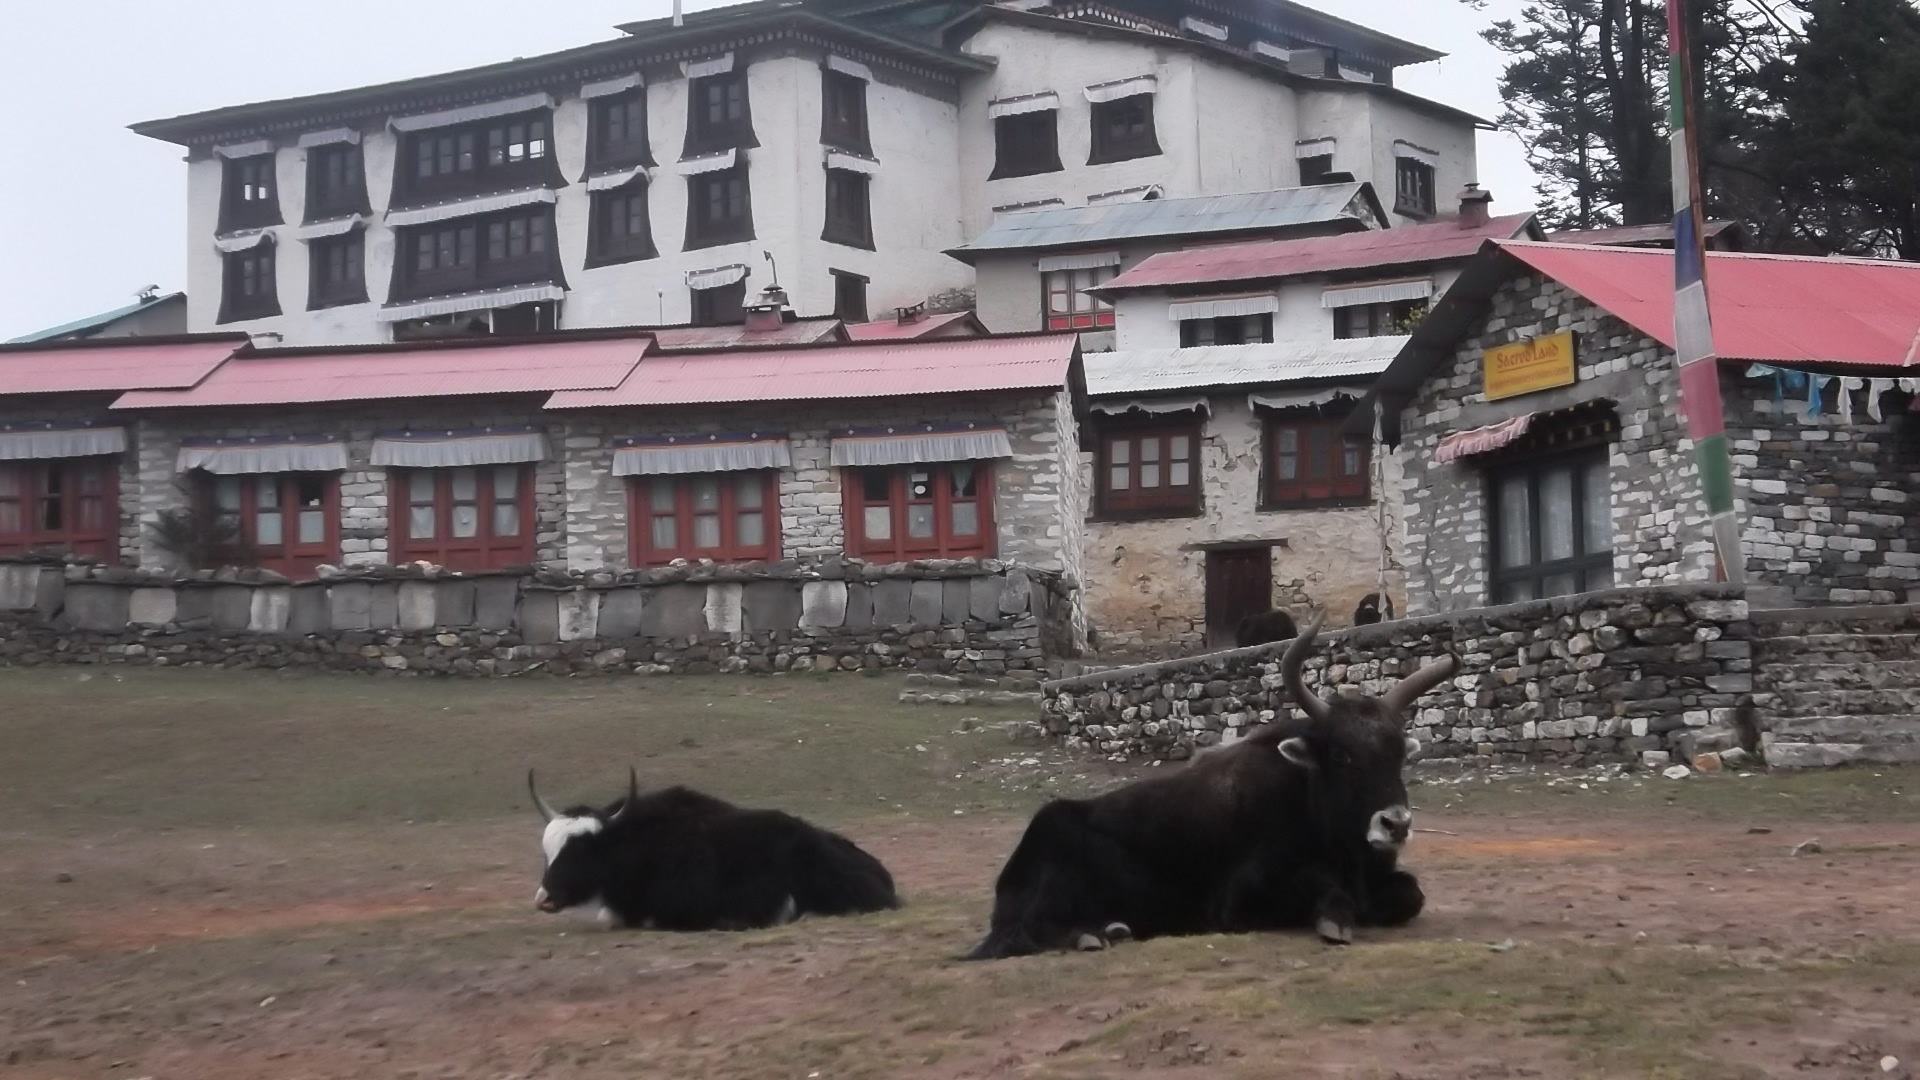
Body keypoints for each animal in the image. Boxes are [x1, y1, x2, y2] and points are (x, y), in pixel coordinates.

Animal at [965, 612, 1455, 960]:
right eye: (1341, 754)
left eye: (1399, 753)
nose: (1396, 825)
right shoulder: (1238, 903)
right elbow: (1323, 891)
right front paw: (1334, 919)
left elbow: (1411, 894)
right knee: (1030, 932)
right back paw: (1092, 935)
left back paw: (1114, 929)